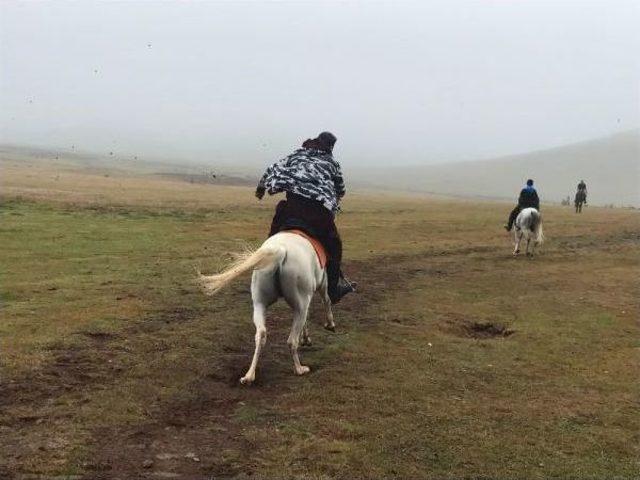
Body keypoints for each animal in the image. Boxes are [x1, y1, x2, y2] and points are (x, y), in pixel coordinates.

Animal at [199, 231, 336, 384]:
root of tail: (281, 250)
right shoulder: (322, 284)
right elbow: (326, 301)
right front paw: (329, 325)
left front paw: (306, 338)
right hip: (300, 304)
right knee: (291, 340)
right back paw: (299, 369)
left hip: (260, 303)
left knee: (261, 334)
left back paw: (249, 376)